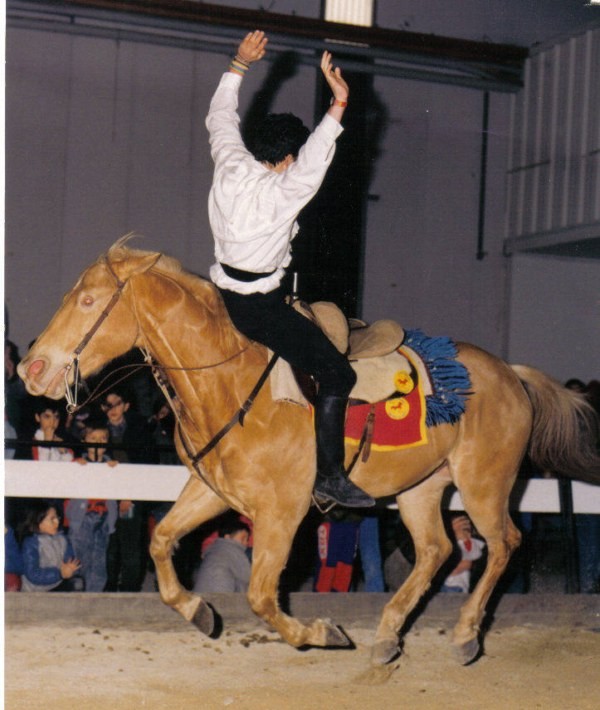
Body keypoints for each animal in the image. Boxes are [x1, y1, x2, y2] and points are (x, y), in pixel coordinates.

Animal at [18, 239, 600, 668]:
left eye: (88, 301)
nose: (32, 369)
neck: (234, 384)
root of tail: (510, 375)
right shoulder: (213, 493)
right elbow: (162, 541)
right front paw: (199, 611)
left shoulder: (283, 512)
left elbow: (260, 594)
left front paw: (320, 632)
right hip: (421, 487)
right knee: (437, 550)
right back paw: (388, 636)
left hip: (483, 485)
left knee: (503, 543)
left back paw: (463, 636)